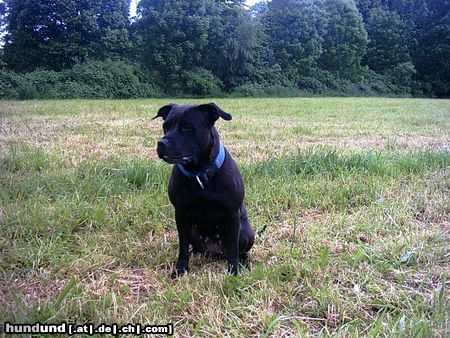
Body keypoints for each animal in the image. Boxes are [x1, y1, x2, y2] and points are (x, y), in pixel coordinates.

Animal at [154, 103, 253, 278]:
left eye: (187, 127)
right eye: (165, 126)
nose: (161, 143)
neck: (199, 173)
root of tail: (215, 251)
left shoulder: (232, 214)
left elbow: (233, 248)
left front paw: (234, 271)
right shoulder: (181, 215)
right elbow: (183, 247)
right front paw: (180, 270)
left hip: (247, 231)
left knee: (239, 250)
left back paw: (245, 262)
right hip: (193, 231)